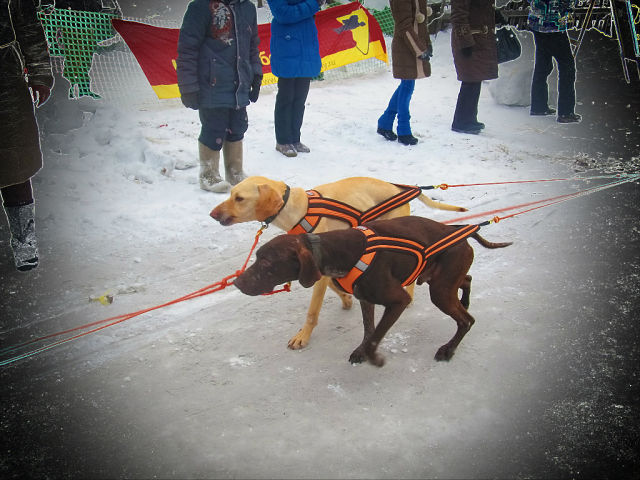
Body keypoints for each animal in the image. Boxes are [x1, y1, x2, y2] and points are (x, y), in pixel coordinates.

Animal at [210, 175, 464, 348]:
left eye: (239, 198)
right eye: (230, 194)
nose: (212, 214)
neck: (301, 209)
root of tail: (398, 187)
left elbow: (313, 311)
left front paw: (303, 336)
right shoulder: (323, 266)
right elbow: (334, 284)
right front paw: (345, 298)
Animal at [232, 216, 512, 366]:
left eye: (267, 262)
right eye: (257, 257)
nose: (236, 283)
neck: (339, 252)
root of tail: (460, 231)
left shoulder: (398, 300)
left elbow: (376, 335)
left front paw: (373, 357)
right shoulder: (365, 299)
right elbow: (369, 330)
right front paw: (361, 350)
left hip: (440, 291)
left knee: (467, 320)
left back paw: (449, 349)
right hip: (441, 282)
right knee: (467, 280)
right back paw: (465, 301)